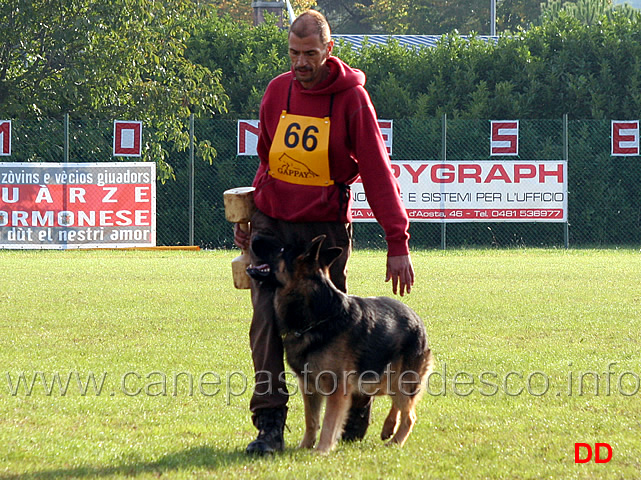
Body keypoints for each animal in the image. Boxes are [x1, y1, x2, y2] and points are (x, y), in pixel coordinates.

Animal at [248, 235, 432, 454]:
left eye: (282, 249)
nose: (253, 237)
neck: (318, 315)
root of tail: (417, 318)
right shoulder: (308, 386)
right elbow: (312, 420)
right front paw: (305, 446)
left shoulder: (337, 390)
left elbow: (329, 422)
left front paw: (321, 450)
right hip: (383, 380)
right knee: (402, 405)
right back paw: (389, 426)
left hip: (398, 380)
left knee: (410, 415)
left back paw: (396, 441)